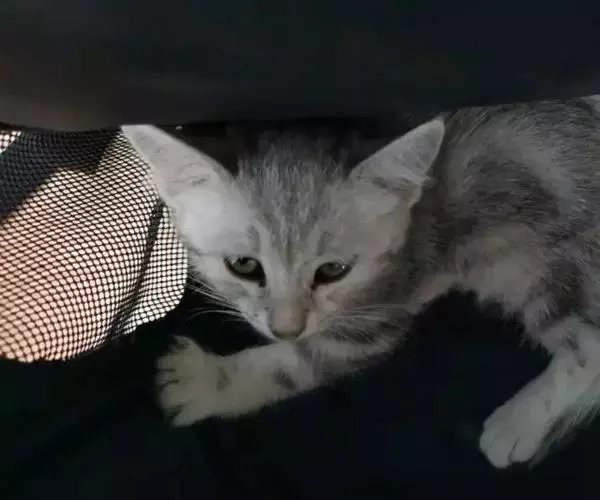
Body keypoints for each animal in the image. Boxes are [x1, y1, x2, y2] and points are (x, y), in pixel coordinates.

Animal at [122, 97, 600, 469]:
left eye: (333, 271)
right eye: (244, 265)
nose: (286, 328)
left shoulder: (374, 316)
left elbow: (290, 365)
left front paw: (203, 382)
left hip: (527, 255)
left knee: (589, 349)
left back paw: (515, 426)